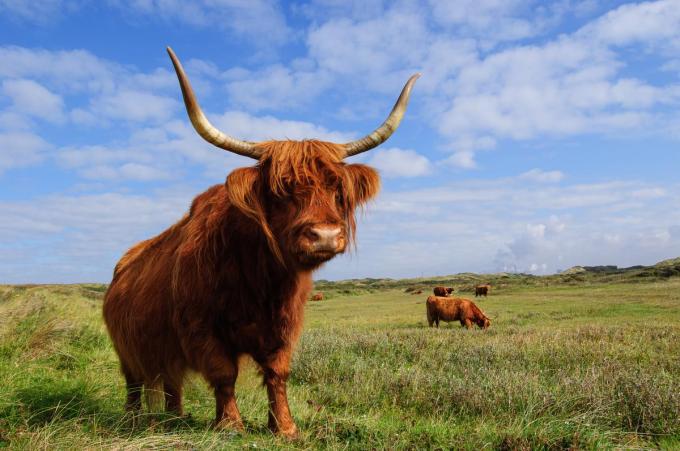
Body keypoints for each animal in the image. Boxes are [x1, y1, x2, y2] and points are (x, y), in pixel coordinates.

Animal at [101, 47, 420, 440]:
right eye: (280, 191)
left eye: (336, 189)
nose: (325, 235)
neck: (260, 280)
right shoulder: (201, 328)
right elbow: (224, 374)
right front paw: (230, 425)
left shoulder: (285, 326)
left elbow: (277, 373)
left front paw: (285, 427)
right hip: (127, 347)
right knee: (133, 383)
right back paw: (133, 419)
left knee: (173, 383)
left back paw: (175, 419)